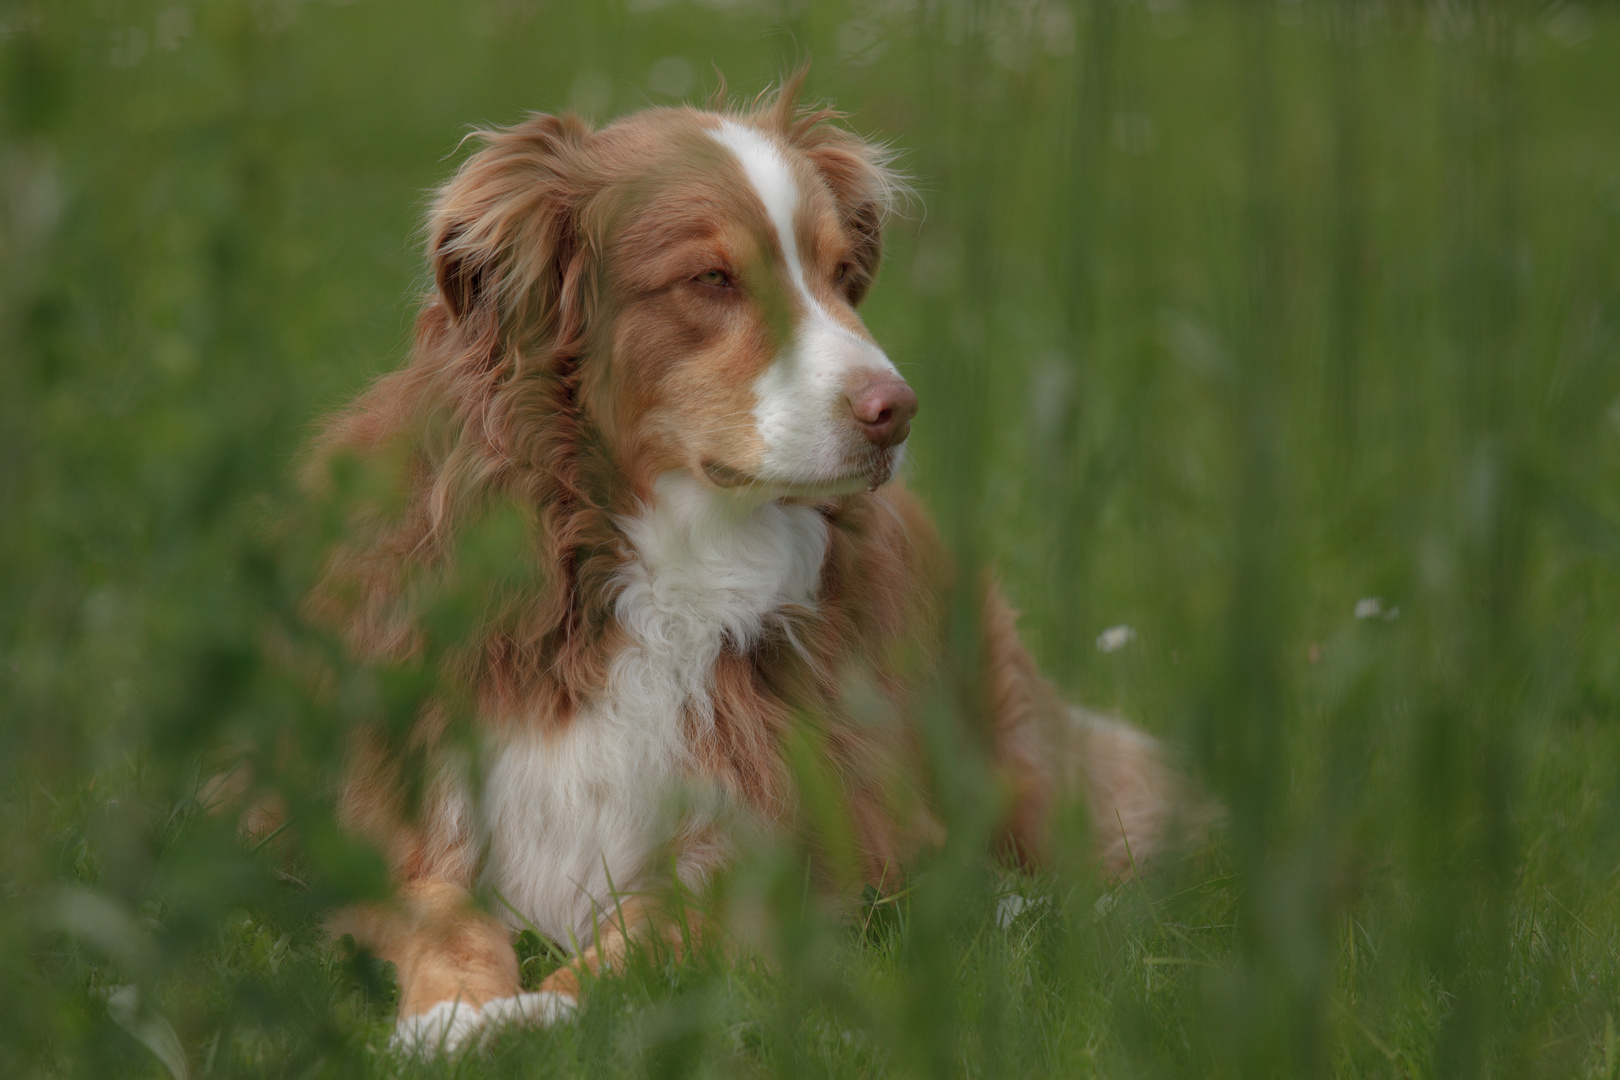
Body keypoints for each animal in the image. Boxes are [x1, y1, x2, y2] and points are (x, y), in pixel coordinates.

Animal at [306, 78, 1192, 1055]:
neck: (659, 572)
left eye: (842, 276)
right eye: (711, 280)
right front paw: (456, 1014)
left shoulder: (790, 853)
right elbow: (442, 913)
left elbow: (650, 933)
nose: (898, 411)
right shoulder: (397, 820)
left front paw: (548, 1013)